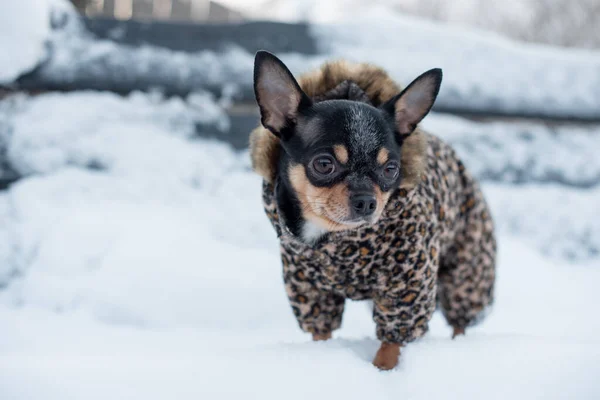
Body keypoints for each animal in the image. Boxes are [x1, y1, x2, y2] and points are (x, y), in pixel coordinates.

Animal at [250, 51, 496, 370]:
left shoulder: (406, 290)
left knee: (460, 320)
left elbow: (392, 343)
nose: (367, 201)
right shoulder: (311, 290)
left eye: (391, 169)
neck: (335, 238)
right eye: (324, 164)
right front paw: (321, 358)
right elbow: (321, 333)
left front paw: (383, 372)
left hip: (466, 270)